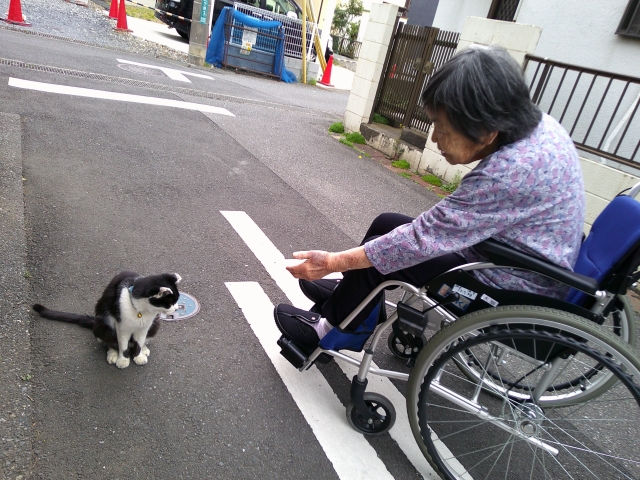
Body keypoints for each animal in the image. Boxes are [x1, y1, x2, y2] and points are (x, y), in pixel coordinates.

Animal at [33, 271, 182, 369]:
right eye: (170, 302)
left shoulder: (144, 327)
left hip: (155, 326)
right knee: (110, 341)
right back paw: (113, 354)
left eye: (176, 301)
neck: (141, 311)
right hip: (102, 325)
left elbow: (138, 342)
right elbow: (123, 345)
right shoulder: (122, 326)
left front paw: (138, 355)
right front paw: (123, 359)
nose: (176, 308)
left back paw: (144, 348)